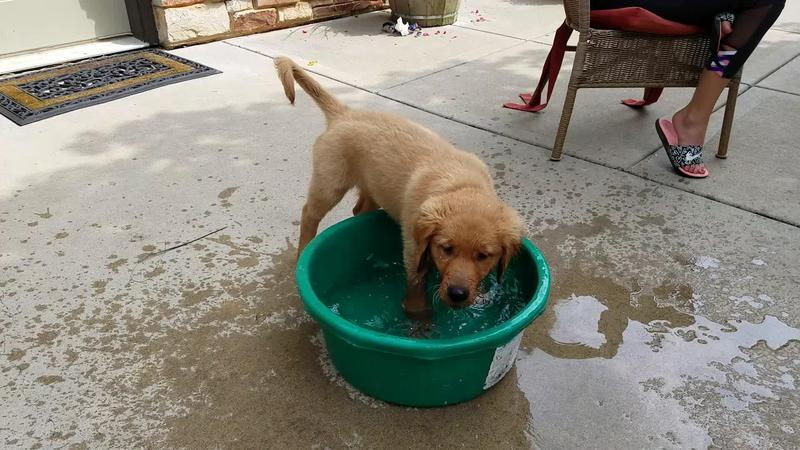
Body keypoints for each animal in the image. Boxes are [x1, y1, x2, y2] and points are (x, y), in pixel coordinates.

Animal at [276, 57, 524, 316]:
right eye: (446, 249)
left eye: (483, 256)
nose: (457, 294)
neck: (460, 184)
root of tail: (344, 114)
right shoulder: (414, 249)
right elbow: (416, 287)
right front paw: (418, 316)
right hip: (330, 182)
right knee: (309, 214)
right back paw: (303, 250)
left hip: (372, 184)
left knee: (358, 209)